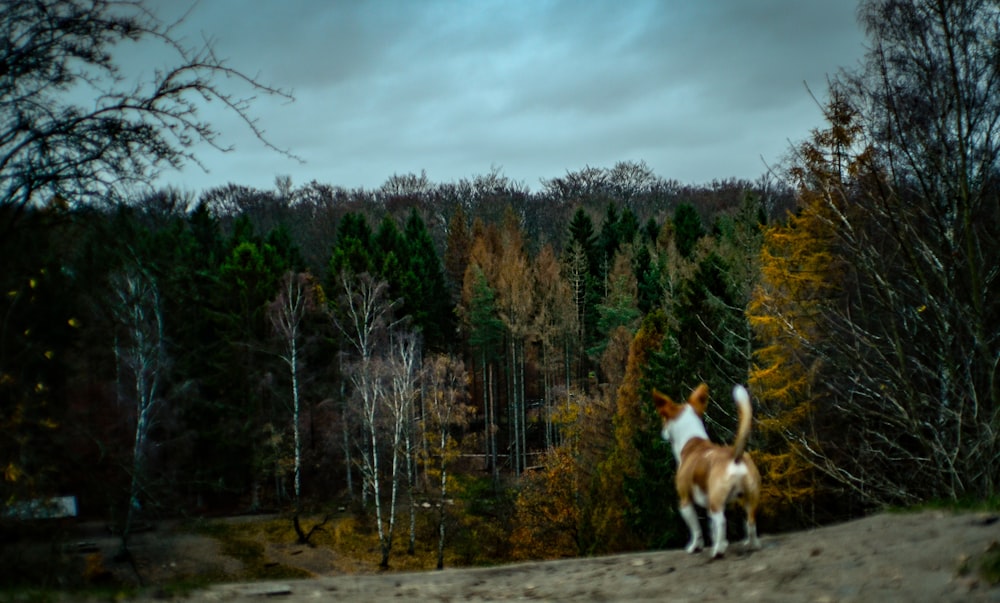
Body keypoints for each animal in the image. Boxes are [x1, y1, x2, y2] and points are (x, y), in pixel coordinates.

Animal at [652, 384, 760, 560]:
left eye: (663, 419)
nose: (662, 433)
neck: (691, 440)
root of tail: (734, 455)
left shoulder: (685, 502)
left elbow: (696, 530)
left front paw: (695, 547)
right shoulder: (708, 504)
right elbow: (712, 529)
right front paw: (720, 542)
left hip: (717, 502)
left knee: (721, 521)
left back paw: (718, 552)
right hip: (750, 497)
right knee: (750, 521)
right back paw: (752, 544)